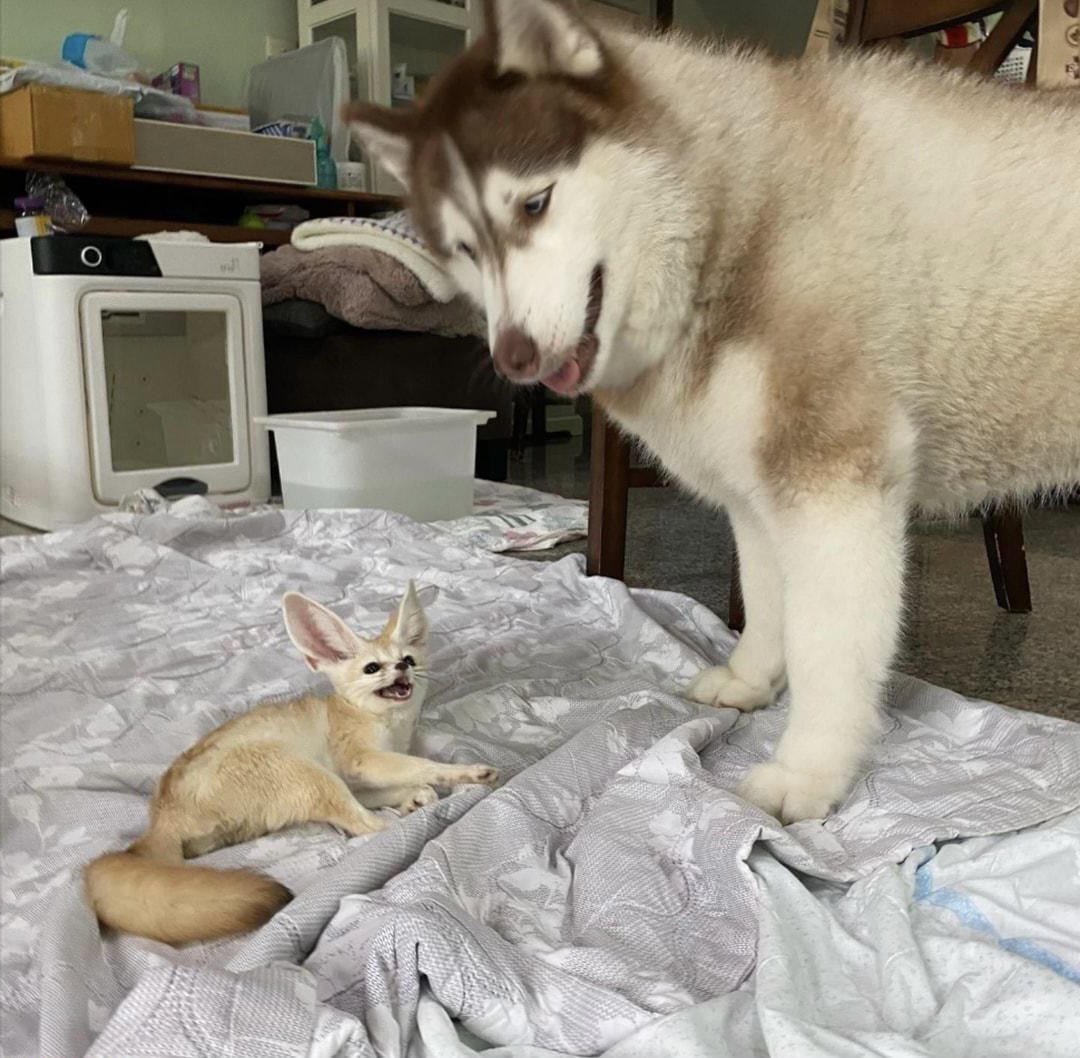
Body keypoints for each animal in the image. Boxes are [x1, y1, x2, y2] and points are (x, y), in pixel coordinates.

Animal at [344, 0, 1080, 822]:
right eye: (464, 248)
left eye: (534, 203)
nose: (516, 357)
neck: (736, 221)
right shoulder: (757, 497)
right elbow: (764, 601)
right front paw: (751, 680)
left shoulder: (832, 484)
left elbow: (826, 647)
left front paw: (808, 771)